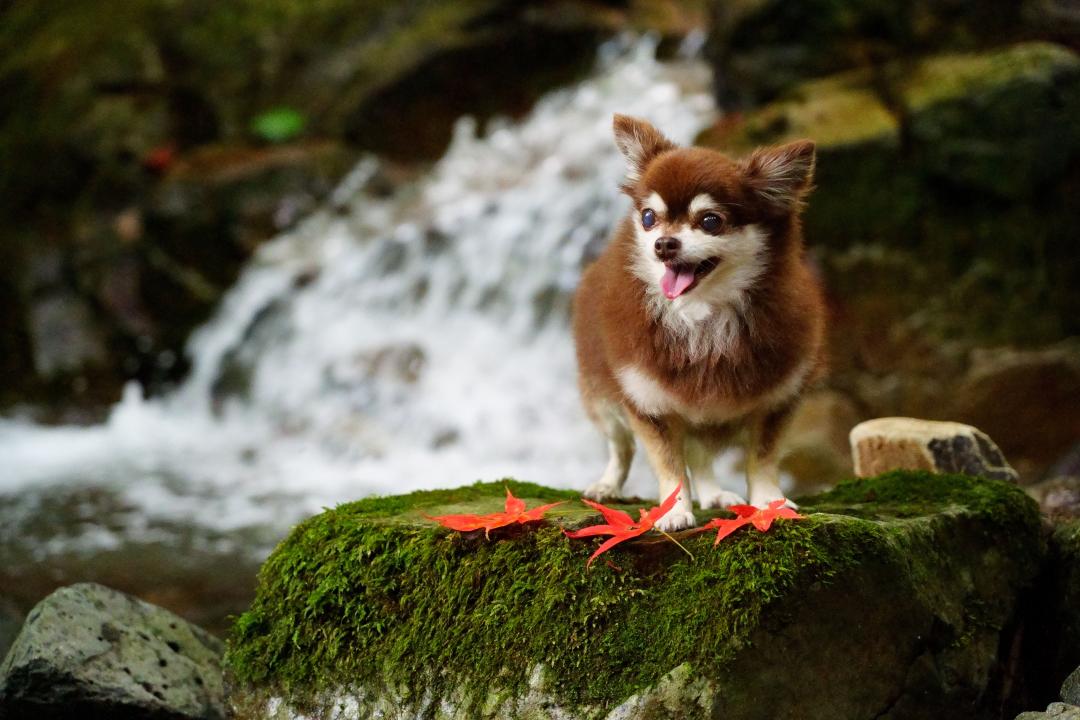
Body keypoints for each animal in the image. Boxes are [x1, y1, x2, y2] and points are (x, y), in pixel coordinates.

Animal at [574, 112, 825, 528]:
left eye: (710, 222)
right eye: (649, 218)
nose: (663, 244)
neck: (702, 315)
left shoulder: (777, 399)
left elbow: (762, 459)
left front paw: (768, 503)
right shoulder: (649, 403)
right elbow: (670, 465)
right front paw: (675, 511)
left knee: (701, 457)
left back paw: (714, 494)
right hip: (601, 397)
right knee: (621, 447)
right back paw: (607, 485)